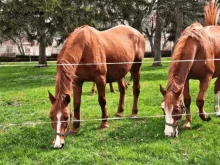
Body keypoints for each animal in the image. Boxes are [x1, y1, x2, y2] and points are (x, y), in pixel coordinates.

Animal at [160, 0, 220, 137]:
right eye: (163, 109)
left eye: (176, 109)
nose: (168, 133)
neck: (197, 47)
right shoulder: (186, 79)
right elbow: (187, 100)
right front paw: (188, 123)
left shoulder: (206, 77)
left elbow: (200, 100)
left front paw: (205, 116)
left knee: (216, 88)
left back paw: (217, 111)